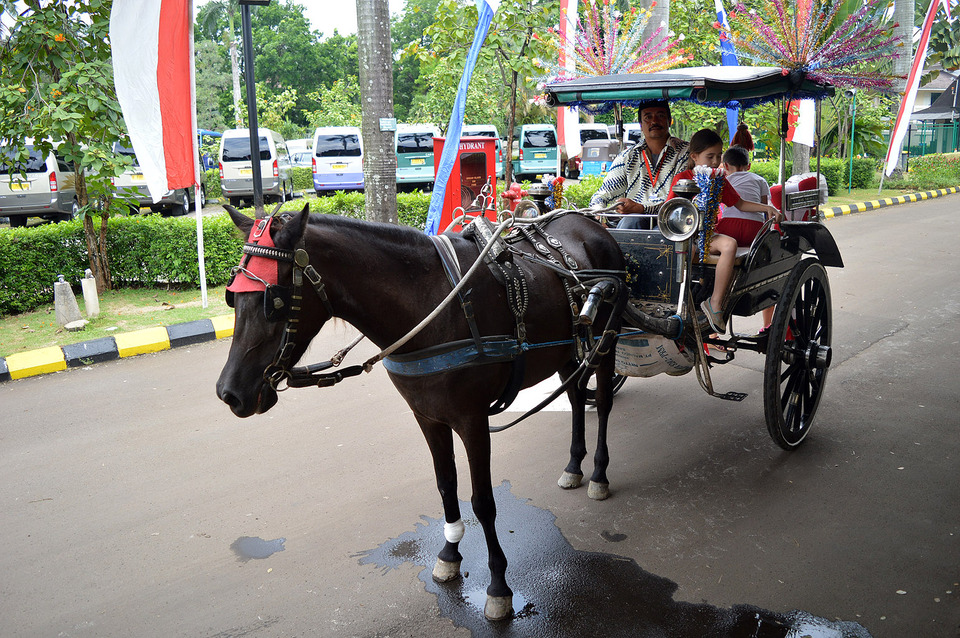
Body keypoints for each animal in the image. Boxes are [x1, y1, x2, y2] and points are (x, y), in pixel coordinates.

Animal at [214, 206, 628, 624]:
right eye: (232, 297)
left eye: (274, 302)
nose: (229, 393)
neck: (432, 303)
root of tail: (590, 222)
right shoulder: (427, 416)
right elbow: (446, 484)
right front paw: (449, 554)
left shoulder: (472, 420)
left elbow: (483, 502)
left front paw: (498, 586)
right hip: (569, 350)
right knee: (575, 397)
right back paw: (573, 465)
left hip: (607, 341)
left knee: (602, 401)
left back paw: (598, 472)